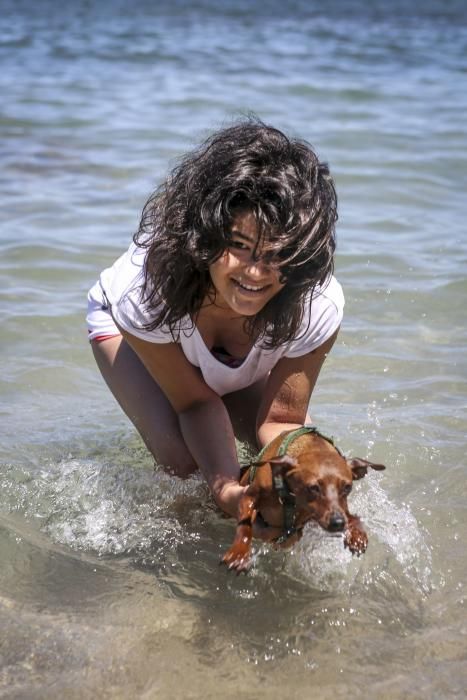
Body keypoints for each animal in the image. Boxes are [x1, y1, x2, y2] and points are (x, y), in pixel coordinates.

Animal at [221, 426, 386, 576]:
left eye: (347, 487)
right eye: (313, 487)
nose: (338, 523)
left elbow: (353, 517)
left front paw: (357, 535)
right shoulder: (249, 496)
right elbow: (245, 525)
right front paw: (239, 553)